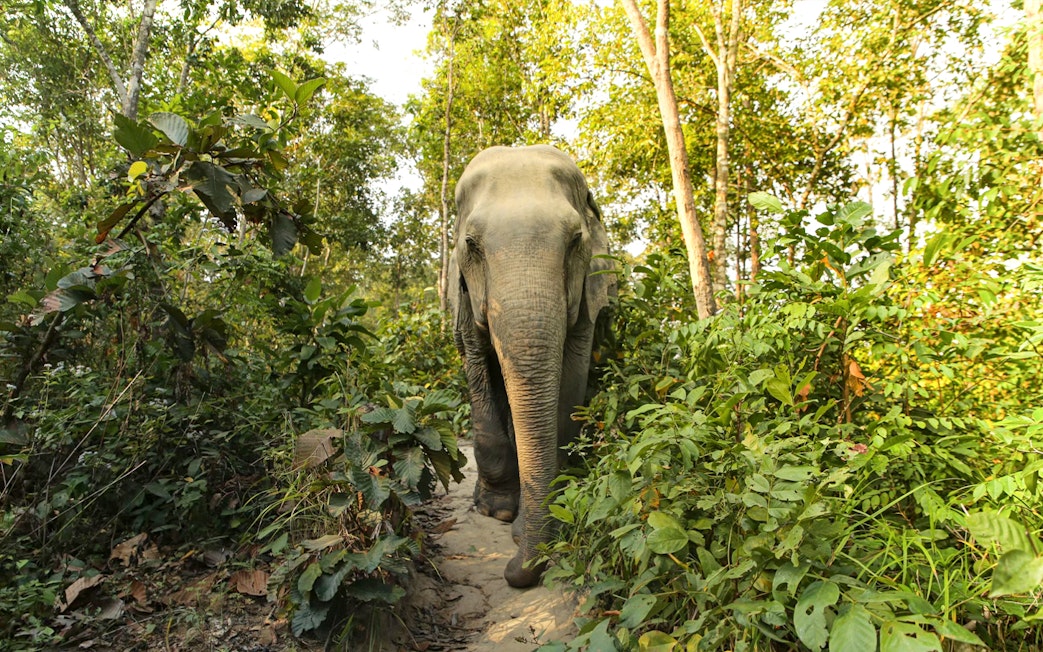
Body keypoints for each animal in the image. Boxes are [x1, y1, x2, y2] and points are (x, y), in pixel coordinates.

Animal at [448, 145, 615, 588]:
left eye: (576, 241)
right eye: (471, 245)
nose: (510, 569)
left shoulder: (589, 292)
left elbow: (570, 385)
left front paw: (529, 526)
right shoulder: (465, 299)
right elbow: (478, 367)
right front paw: (499, 512)